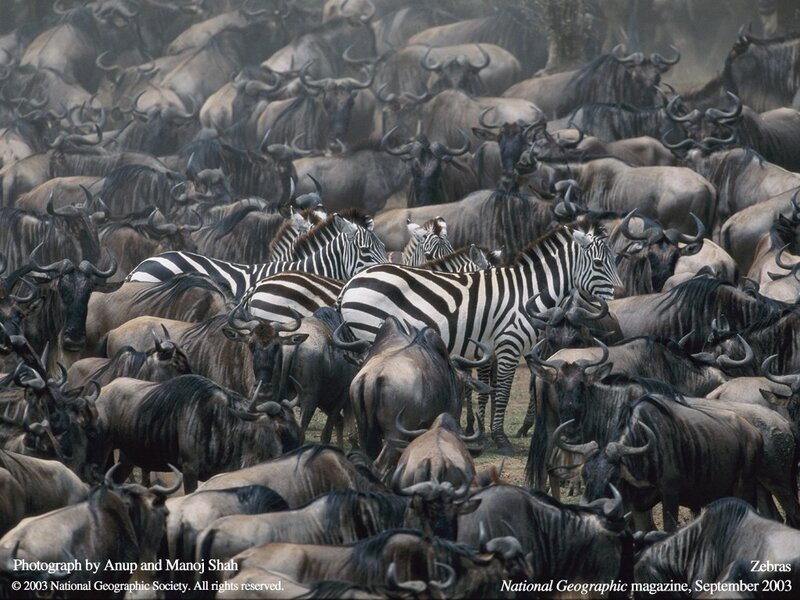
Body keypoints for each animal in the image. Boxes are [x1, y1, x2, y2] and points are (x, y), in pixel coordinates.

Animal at [338, 222, 623, 455]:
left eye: (615, 260)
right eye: (599, 264)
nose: (620, 295)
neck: (528, 295)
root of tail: (351, 281)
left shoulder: (493, 350)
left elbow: (490, 389)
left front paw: (487, 434)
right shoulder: (509, 343)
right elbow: (503, 392)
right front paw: (501, 439)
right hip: (373, 332)